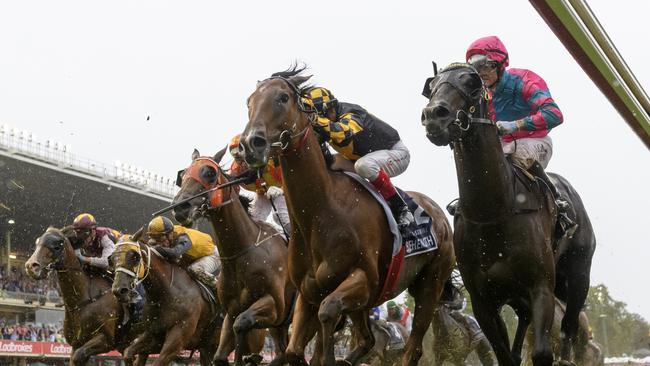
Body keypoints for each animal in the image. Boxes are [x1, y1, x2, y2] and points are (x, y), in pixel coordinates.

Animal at [25, 227, 139, 364]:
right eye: (37, 243)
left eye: (57, 246)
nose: (31, 267)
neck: (82, 301)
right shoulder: (76, 343)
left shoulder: (106, 340)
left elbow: (78, 356)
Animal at [171, 149, 294, 366]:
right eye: (183, 174)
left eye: (209, 173)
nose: (180, 207)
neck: (246, 249)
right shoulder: (230, 311)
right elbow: (221, 354)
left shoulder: (275, 305)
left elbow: (242, 324)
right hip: (279, 326)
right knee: (283, 351)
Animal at [239, 67, 456, 366]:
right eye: (248, 101)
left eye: (283, 97)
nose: (251, 144)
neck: (320, 212)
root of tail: (440, 215)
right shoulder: (308, 292)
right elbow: (294, 351)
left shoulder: (364, 280)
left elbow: (328, 313)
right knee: (367, 340)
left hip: (430, 285)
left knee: (412, 348)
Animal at [418, 61, 596, 364]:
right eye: (431, 86)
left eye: (472, 82)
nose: (434, 115)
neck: (493, 213)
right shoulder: (484, 300)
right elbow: (504, 355)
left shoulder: (541, 287)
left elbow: (542, 352)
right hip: (518, 296)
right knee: (524, 323)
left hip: (577, 276)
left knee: (570, 324)